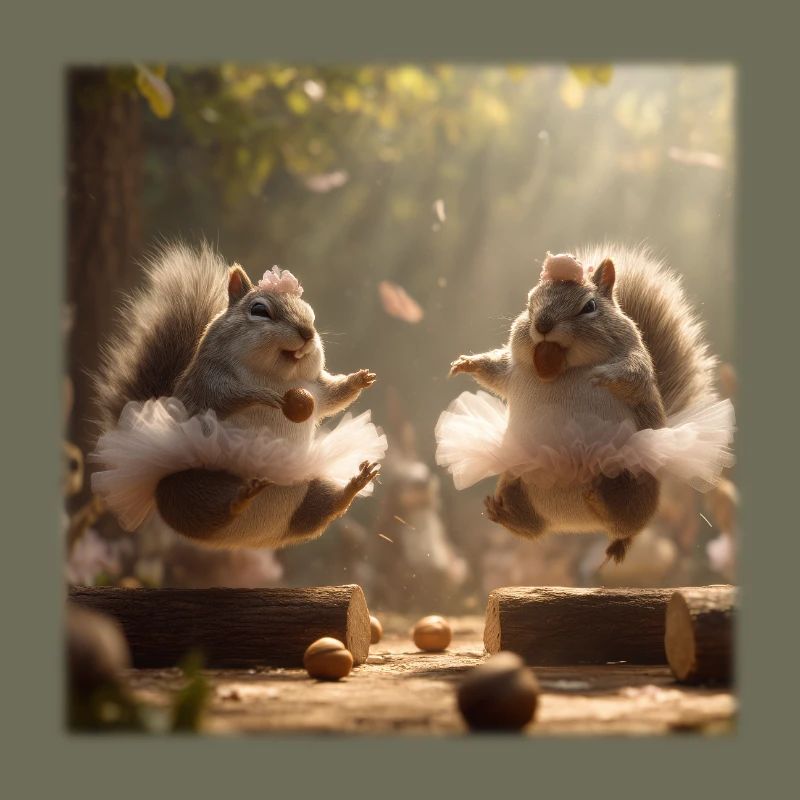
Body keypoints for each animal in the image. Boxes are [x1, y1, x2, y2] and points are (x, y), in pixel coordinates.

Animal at [93, 242, 380, 549]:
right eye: (259, 310)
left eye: (311, 314)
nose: (307, 332)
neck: (277, 377)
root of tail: (255, 536)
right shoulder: (208, 384)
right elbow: (227, 399)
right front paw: (262, 395)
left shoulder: (315, 390)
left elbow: (334, 397)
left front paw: (359, 380)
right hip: (196, 488)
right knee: (217, 509)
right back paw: (242, 498)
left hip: (309, 488)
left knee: (327, 507)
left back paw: (355, 483)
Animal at [447, 244, 720, 564]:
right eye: (529, 304)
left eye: (589, 306)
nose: (542, 324)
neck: (564, 367)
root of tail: (574, 523)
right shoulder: (511, 371)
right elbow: (493, 370)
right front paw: (465, 364)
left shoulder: (637, 364)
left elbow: (631, 374)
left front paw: (601, 375)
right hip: (516, 481)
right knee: (530, 528)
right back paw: (499, 511)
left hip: (629, 482)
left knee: (627, 526)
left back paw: (604, 512)